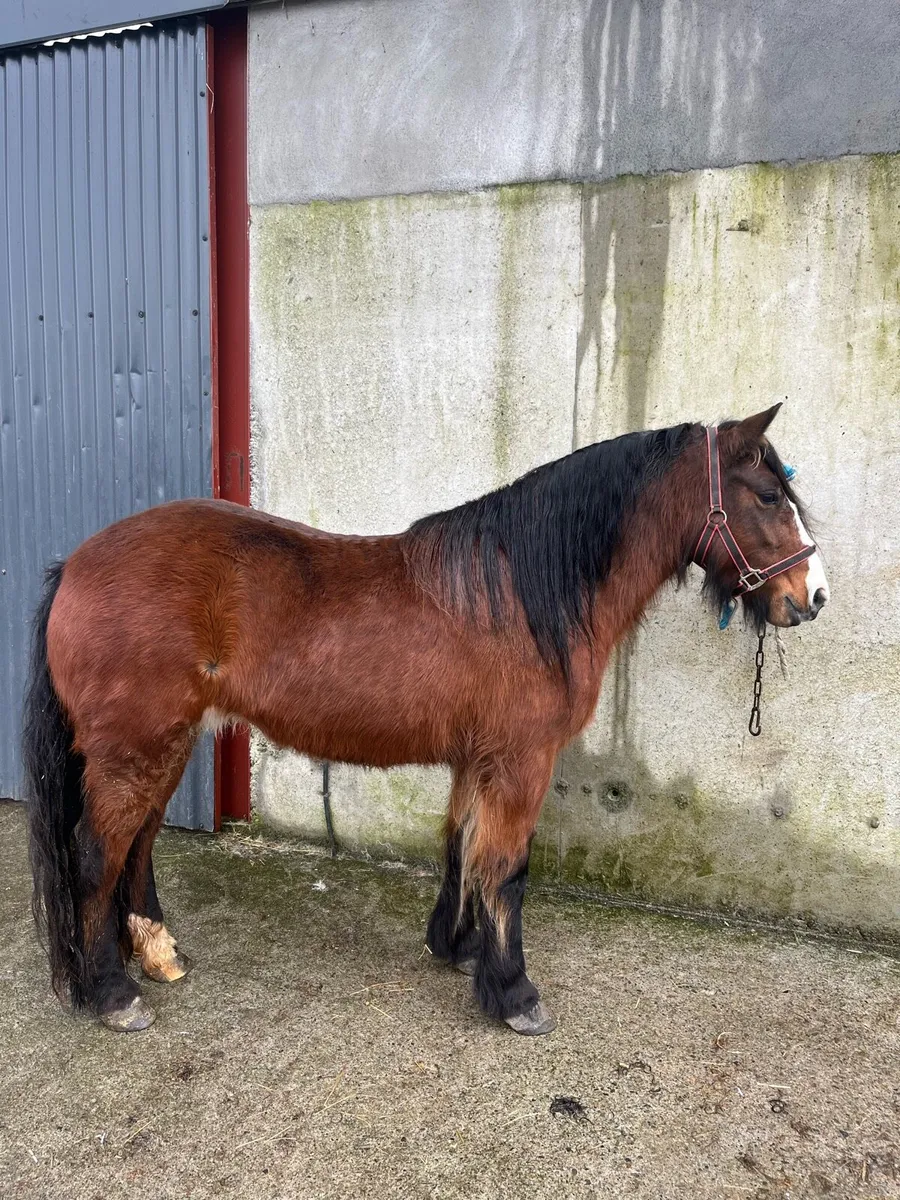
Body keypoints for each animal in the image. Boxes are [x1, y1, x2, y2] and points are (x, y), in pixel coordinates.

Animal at [23, 403, 828, 1035]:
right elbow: (507, 868)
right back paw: (112, 992)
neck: (521, 592)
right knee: (96, 854)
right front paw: (514, 993)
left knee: (137, 847)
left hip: (167, 742)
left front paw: (459, 947)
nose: (812, 596)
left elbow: (461, 847)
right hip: (135, 748)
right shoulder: (522, 761)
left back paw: (158, 956)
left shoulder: (480, 757)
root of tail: (74, 565)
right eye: (765, 495)